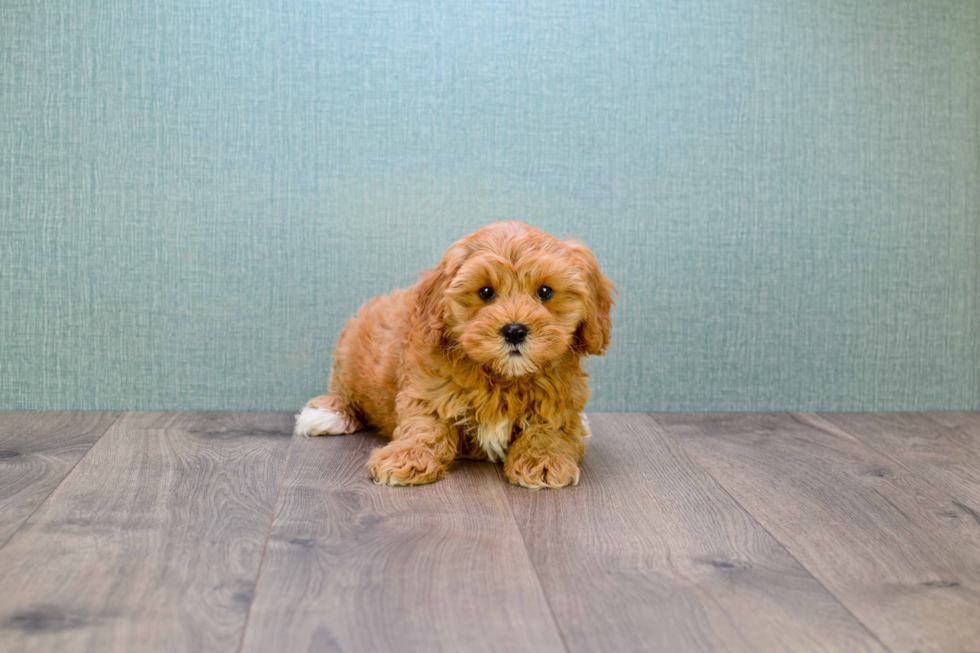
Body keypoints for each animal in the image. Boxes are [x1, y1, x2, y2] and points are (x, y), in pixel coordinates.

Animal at [294, 222, 612, 486]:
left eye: (545, 292)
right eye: (485, 292)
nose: (514, 330)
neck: (502, 377)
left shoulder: (559, 401)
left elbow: (550, 430)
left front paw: (543, 460)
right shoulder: (429, 390)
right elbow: (425, 426)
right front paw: (408, 456)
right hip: (350, 351)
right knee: (343, 390)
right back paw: (326, 414)